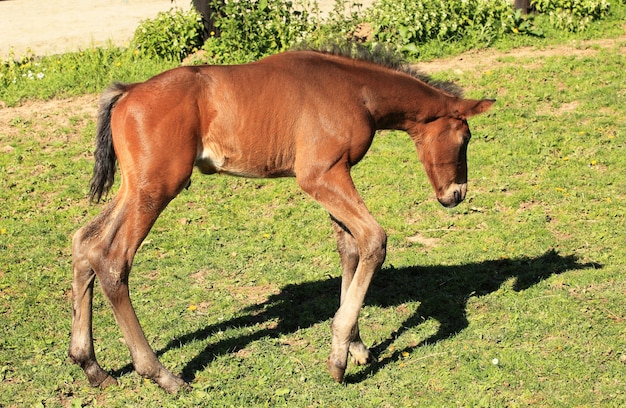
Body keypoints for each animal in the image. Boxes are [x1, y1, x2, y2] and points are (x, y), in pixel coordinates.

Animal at [69, 51, 492, 392]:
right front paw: (339, 355)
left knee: (85, 242)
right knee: (112, 260)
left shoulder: (333, 175)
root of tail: (127, 92)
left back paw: (91, 365)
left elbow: (349, 250)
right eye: (465, 138)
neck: (356, 91)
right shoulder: (320, 176)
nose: (456, 195)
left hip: (135, 187)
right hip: (155, 189)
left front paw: (354, 345)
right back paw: (161, 374)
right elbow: (374, 240)